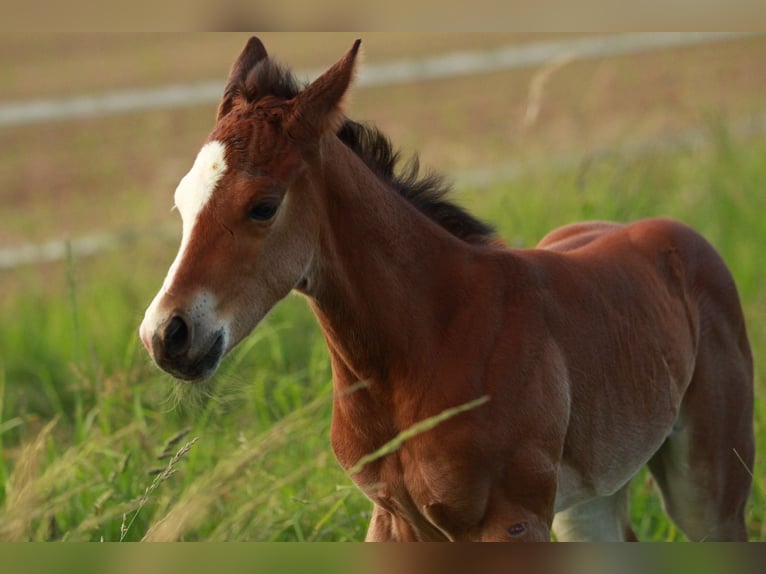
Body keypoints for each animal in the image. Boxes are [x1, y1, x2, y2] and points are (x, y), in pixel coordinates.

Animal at [140, 38, 756, 544]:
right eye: (181, 200)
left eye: (263, 206)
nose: (166, 334)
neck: (424, 341)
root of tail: (671, 231)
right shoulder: (393, 520)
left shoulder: (513, 520)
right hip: (593, 498)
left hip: (708, 488)